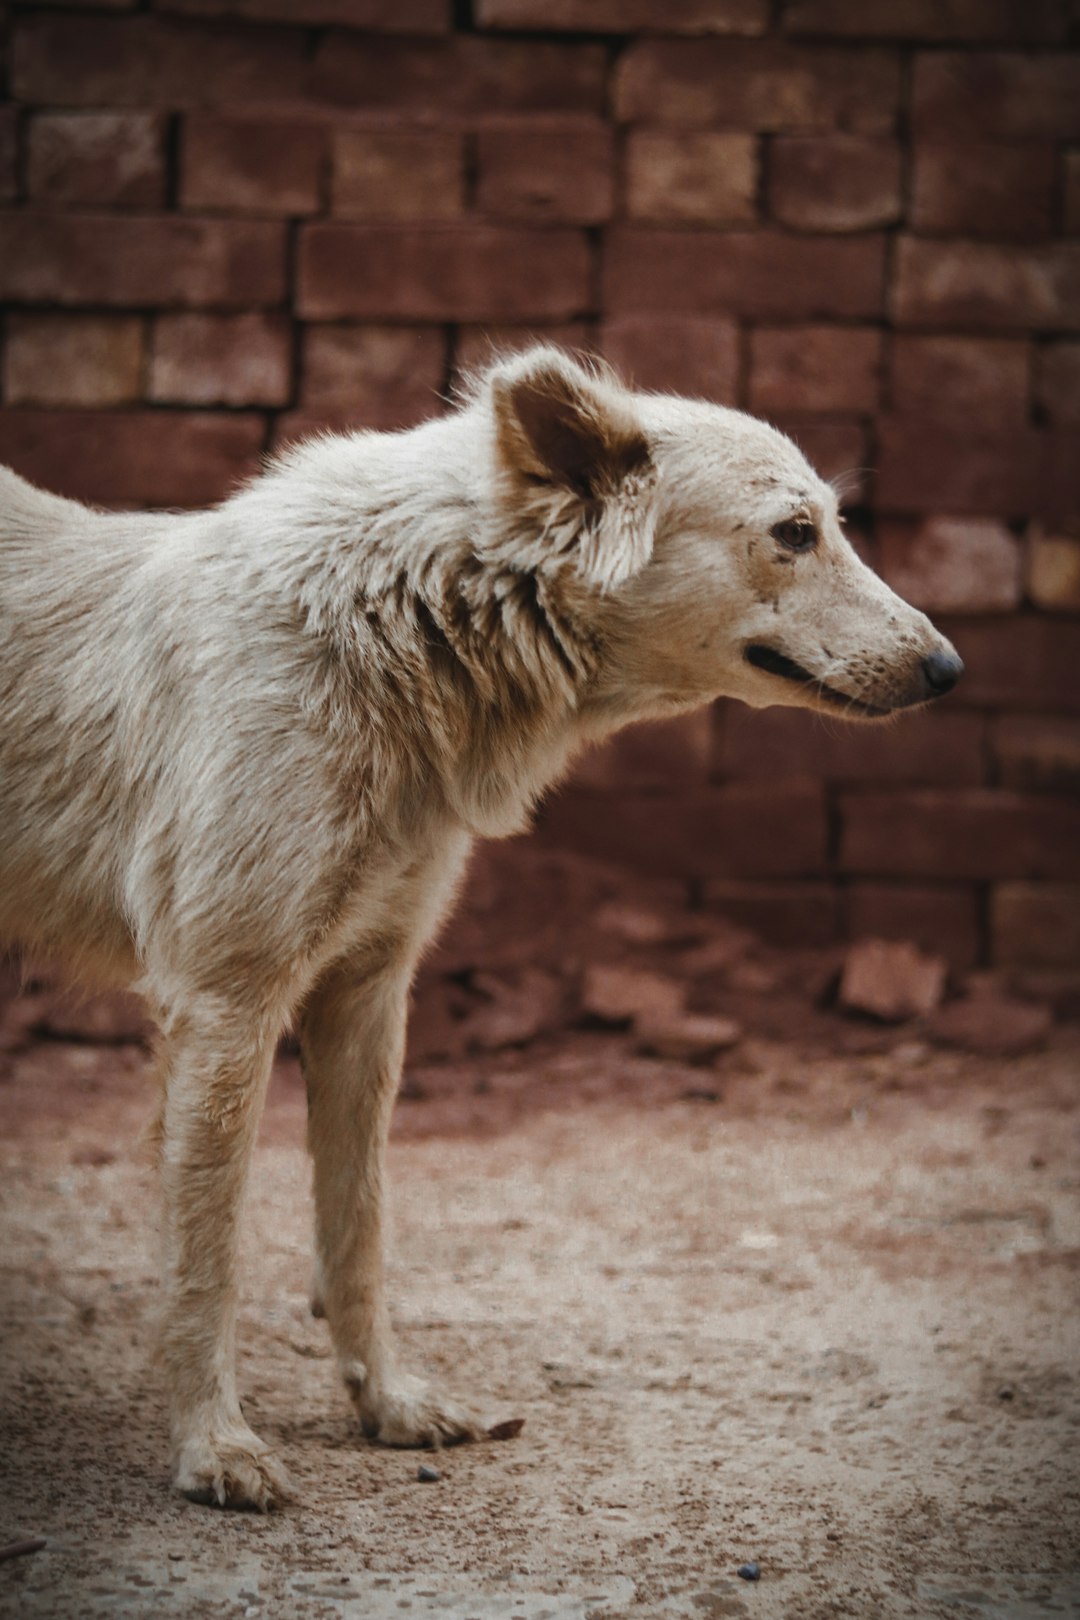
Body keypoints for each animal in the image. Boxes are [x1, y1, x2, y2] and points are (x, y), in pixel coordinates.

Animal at [0, 348, 965, 1509]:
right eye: (795, 531)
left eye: (835, 523)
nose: (950, 668)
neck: (390, 639)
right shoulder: (225, 1004)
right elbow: (208, 1263)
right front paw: (214, 1450)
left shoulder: (366, 996)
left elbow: (359, 1230)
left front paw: (391, 1408)